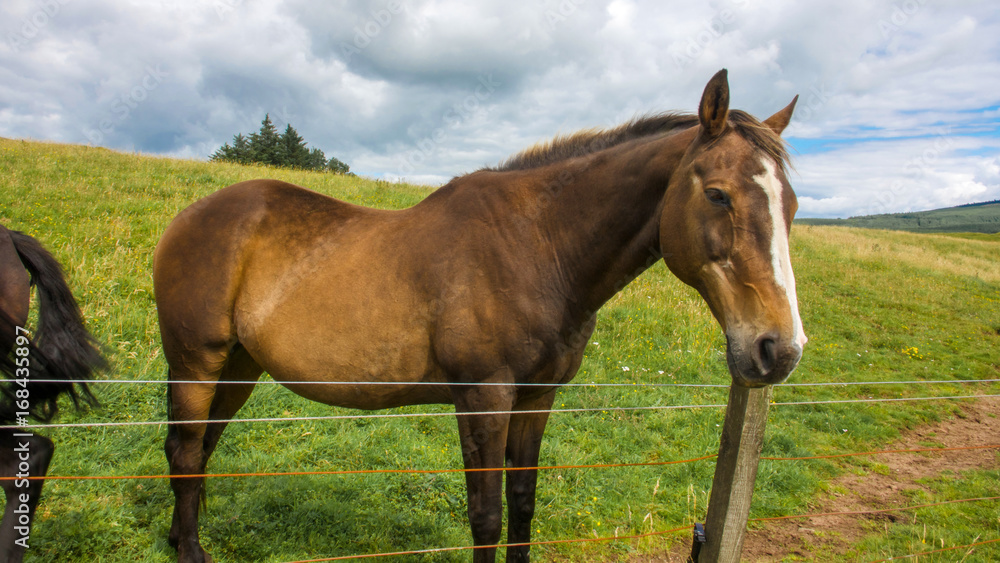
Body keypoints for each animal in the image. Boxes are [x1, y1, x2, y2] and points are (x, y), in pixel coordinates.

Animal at [158, 71, 812, 563]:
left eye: (791, 204)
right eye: (718, 194)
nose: (778, 349)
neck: (537, 247)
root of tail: (190, 217)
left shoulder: (536, 397)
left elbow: (522, 502)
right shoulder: (483, 396)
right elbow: (487, 517)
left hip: (240, 368)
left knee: (202, 447)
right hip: (195, 362)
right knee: (186, 449)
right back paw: (189, 550)